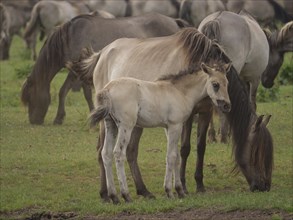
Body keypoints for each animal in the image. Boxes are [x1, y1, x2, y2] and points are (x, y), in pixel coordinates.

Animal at [19, 12, 186, 124]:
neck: (69, 37)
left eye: (30, 97)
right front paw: (59, 118)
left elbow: (80, 93)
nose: (34, 121)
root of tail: (174, 21)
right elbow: (65, 91)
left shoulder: (77, 71)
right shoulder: (75, 71)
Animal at [86, 62, 230, 204]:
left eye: (227, 83)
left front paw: (180, 191)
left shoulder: (169, 127)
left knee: (106, 153)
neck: (179, 91)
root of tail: (108, 89)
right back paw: (126, 195)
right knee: (118, 153)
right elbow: (171, 156)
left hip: (110, 125)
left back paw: (114, 196)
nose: (227, 106)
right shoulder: (175, 126)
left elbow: (177, 156)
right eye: (215, 84)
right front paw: (169, 191)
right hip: (126, 126)